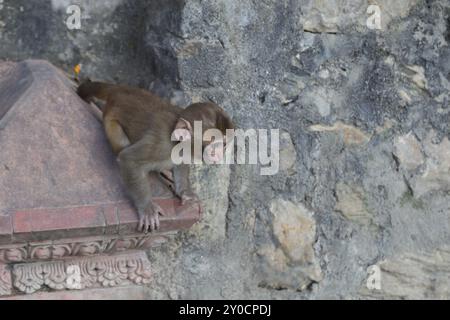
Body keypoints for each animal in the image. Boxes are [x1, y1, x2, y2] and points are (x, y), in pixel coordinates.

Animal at [76, 80, 236, 232]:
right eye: (215, 144)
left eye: (224, 144)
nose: (220, 154)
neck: (176, 141)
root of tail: (119, 89)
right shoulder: (160, 145)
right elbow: (129, 159)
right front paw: (147, 208)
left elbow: (181, 166)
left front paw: (186, 194)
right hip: (111, 122)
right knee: (121, 144)